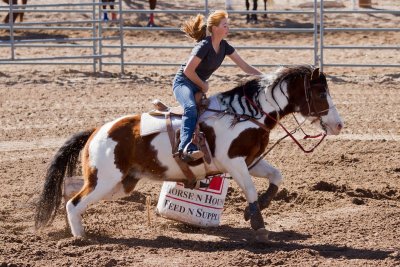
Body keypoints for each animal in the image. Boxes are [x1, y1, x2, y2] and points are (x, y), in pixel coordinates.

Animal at [34, 65, 342, 243]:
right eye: (320, 93)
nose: (338, 125)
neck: (243, 114)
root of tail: (97, 130)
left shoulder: (250, 161)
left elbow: (276, 176)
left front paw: (255, 210)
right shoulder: (234, 162)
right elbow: (251, 189)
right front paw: (258, 224)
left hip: (119, 183)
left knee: (71, 191)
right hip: (106, 180)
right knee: (74, 202)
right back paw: (80, 238)